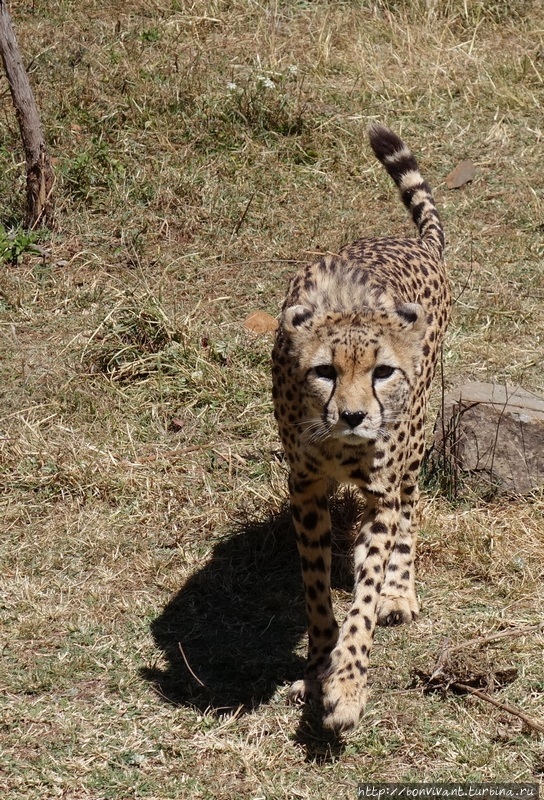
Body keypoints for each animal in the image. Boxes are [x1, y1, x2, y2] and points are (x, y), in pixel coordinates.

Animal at [272, 123, 450, 732]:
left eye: (382, 372)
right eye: (324, 371)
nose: (353, 416)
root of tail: (413, 242)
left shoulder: (379, 494)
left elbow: (364, 595)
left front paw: (346, 685)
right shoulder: (304, 488)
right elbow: (315, 588)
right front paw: (318, 664)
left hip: (413, 446)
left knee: (410, 507)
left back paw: (401, 590)